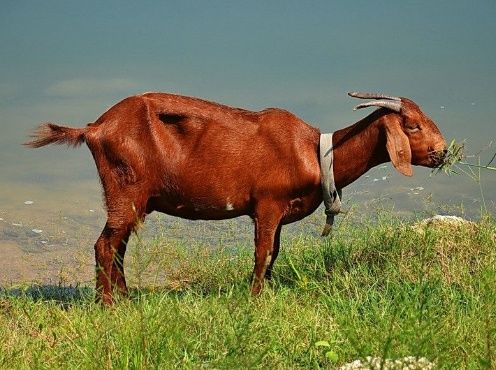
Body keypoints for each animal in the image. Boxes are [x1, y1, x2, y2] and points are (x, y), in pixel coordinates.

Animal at [25, 92, 448, 304]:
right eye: (412, 125)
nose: (443, 152)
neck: (316, 152)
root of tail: (95, 128)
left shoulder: (277, 213)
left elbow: (274, 253)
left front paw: (266, 291)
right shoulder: (267, 204)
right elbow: (262, 253)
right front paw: (254, 299)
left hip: (134, 198)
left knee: (117, 246)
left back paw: (127, 300)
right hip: (124, 188)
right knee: (104, 245)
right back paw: (108, 306)